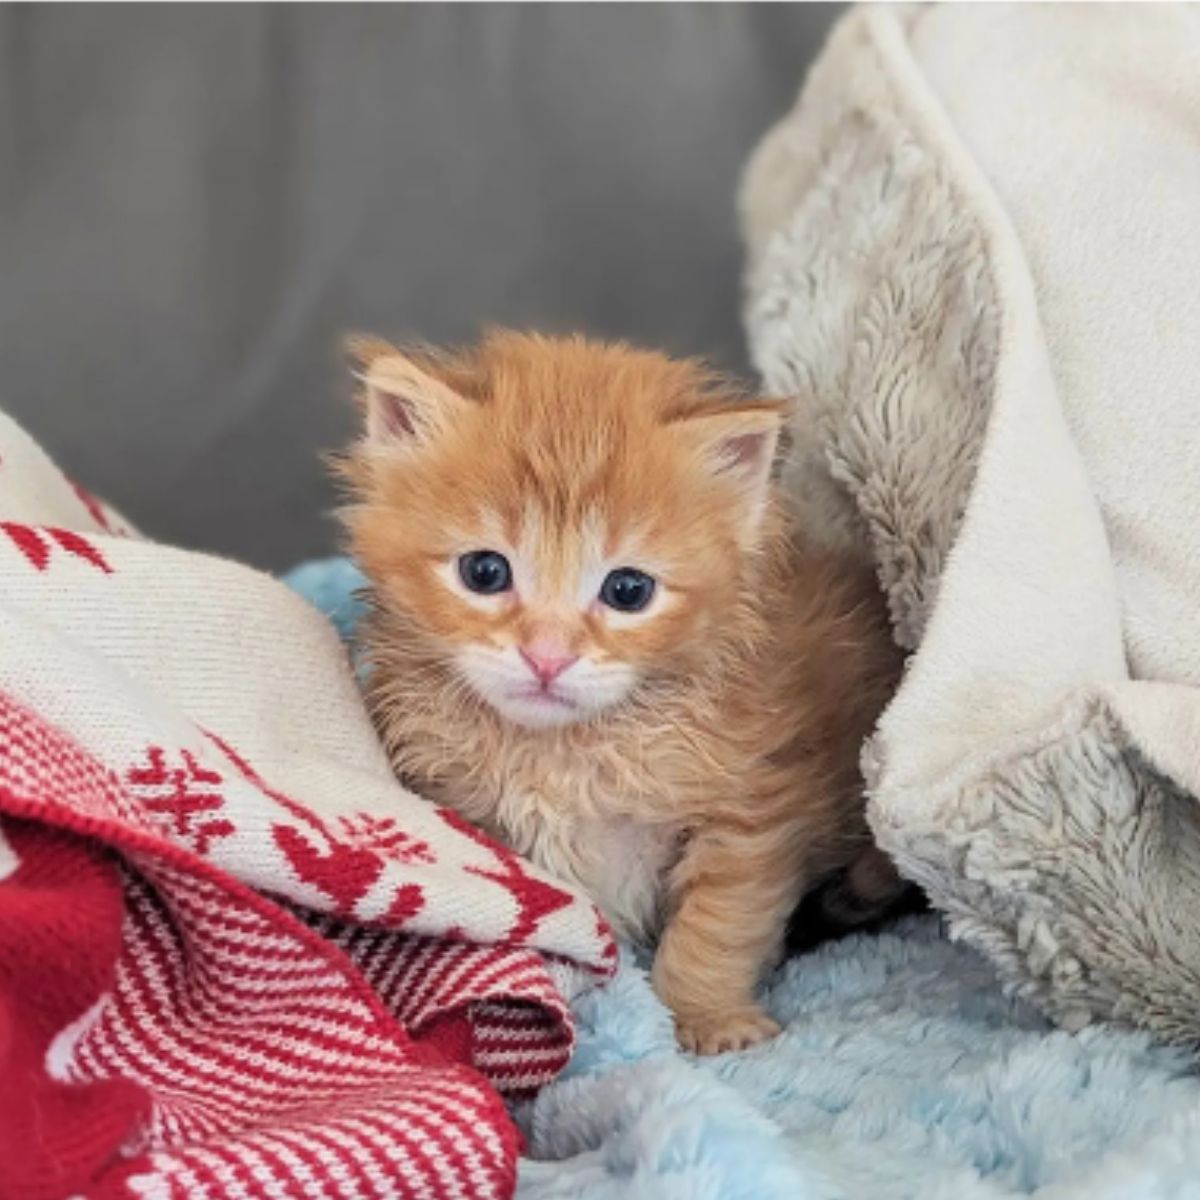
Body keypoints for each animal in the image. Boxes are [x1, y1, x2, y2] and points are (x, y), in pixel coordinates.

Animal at [338, 333, 902, 1056]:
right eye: (485, 571)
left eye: (628, 590)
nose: (547, 657)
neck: (562, 752)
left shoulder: (753, 816)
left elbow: (715, 928)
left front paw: (707, 1020)